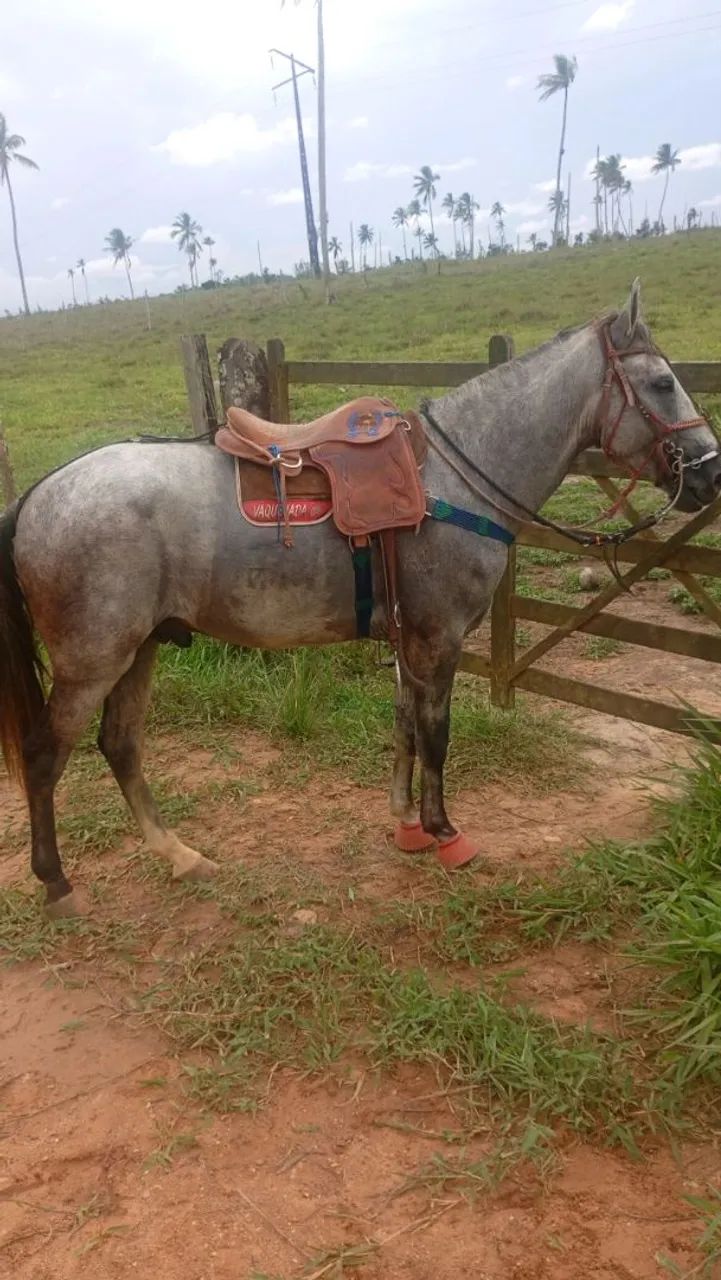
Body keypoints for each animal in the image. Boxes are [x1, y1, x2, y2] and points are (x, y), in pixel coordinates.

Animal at [1, 279, 719, 918]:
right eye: (662, 382)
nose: (709, 473)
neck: (452, 478)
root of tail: (39, 495)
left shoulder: (409, 638)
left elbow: (404, 725)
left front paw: (406, 824)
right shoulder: (439, 637)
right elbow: (436, 734)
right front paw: (444, 832)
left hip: (139, 648)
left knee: (120, 745)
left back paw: (179, 856)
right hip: (93, 660)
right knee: (44, 757)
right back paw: (57, 883)